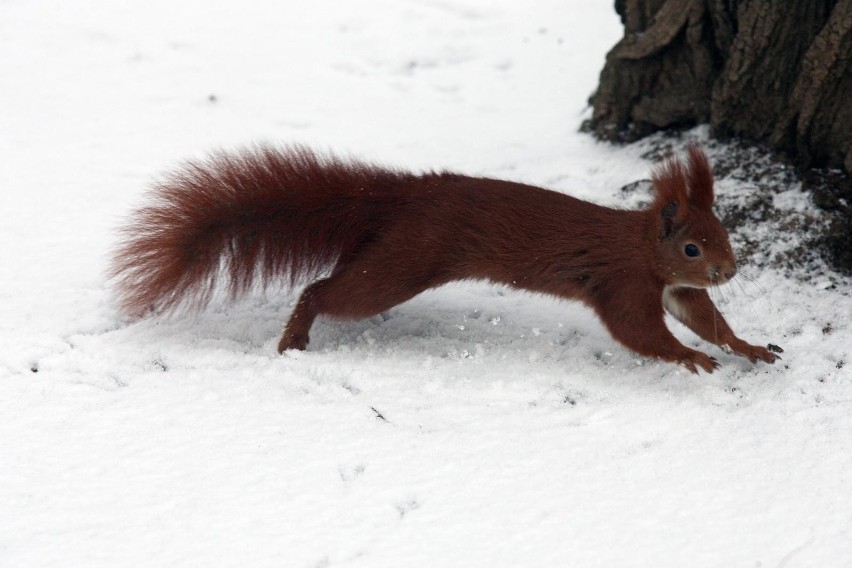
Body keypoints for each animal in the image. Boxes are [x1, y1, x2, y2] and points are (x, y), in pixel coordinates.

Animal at [111, 143, 780, 372]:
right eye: (692, 246)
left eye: (723, 232)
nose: (729, 270)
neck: (645, 247)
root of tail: (405, 195)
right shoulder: (623, 282)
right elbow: (640, 332)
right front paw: (689, 358)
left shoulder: (675, 288)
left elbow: (706, 319)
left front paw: (747, 347)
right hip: (401, 264)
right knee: (323, 292)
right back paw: (293, 339)